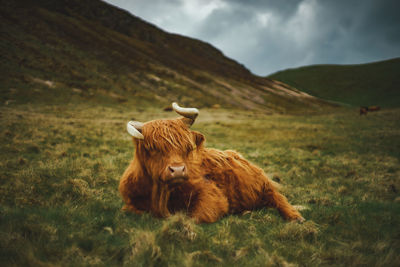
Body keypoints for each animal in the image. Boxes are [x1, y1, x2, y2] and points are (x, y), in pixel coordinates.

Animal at [119, 103, 304, 224]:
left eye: (188, 147)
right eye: (152, 148)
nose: (178, 170)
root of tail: (236, 154)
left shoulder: (211, 194)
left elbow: (195, 217)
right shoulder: (129, 203)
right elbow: (133, 211)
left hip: (264, 186)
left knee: (278, 197)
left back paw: (296, 217)